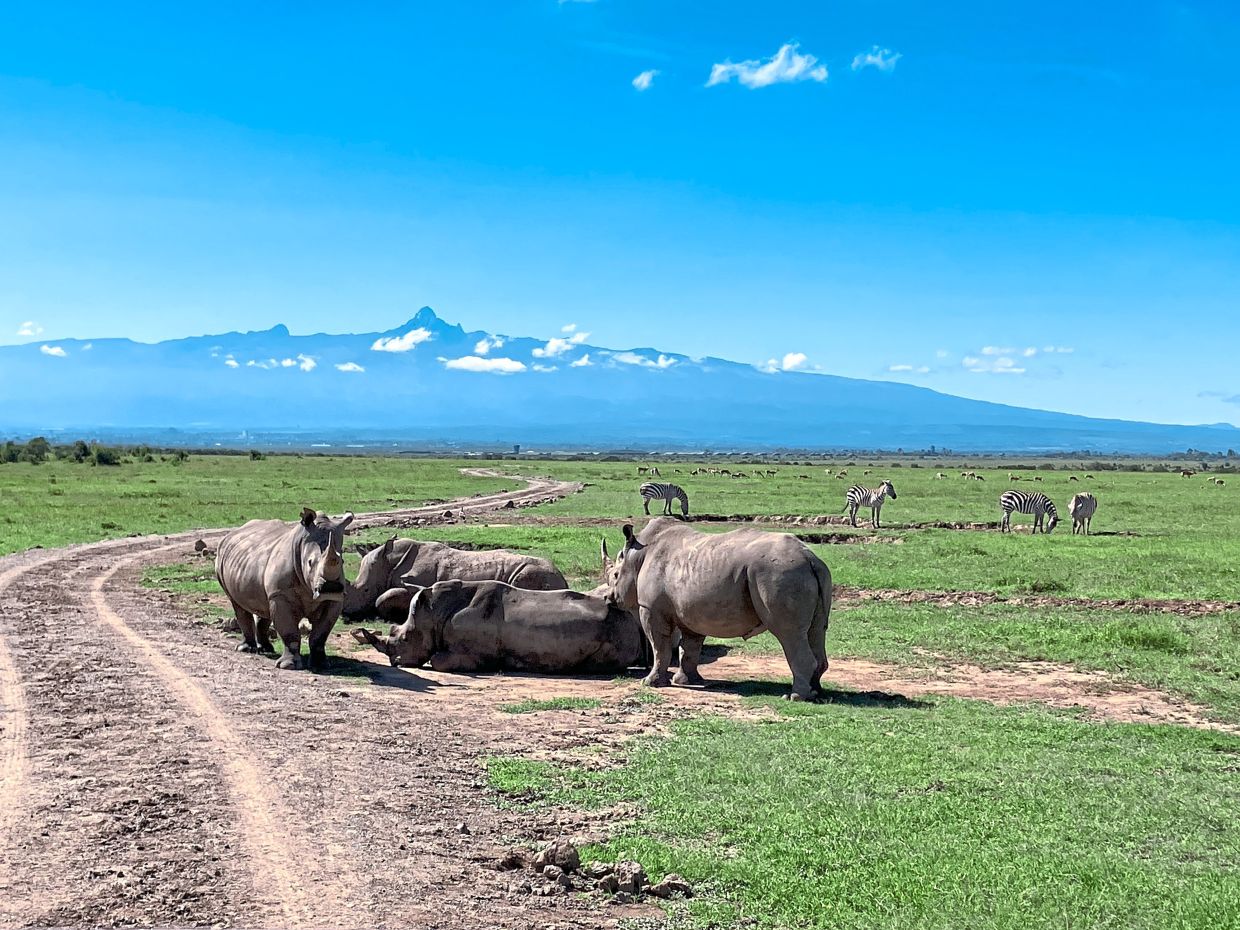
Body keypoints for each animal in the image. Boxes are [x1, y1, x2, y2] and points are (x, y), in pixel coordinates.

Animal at [215, 508, 354, 670]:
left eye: (342, 561)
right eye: (310, 562)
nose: (331, 587)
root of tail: (233, 533)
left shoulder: (334, 600)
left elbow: (320, 634)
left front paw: (321, 665)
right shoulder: (280, 595)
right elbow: (289, 631)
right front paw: (288, 666)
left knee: (263, 605)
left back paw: (266, 649)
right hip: (221, 556)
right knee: (238, 604)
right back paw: (246, 649)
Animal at [341, 536, 567, 620]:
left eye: (366, 591)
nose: (345, 613)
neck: (389, 562)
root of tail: (562, 577)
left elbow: (383, 597)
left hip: (533, 571)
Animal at [351, 579, 646, 674]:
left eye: (404, 638)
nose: (395, 662)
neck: (435, 613)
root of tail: (633, 623)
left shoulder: (471, 652)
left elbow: (438, 661)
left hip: (617, 630)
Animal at [602, 518, 832, 701]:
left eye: (615, 575)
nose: (608, 598)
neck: (637, 555)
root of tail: (810, 559)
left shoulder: (651, 608)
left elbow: (660, 646)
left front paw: (650, 683)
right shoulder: (691, 610)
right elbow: (690, 647)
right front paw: (686, 681)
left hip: (779, 574)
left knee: (789, 633)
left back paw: (795, 697)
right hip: (806, 574)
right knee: (816, 631)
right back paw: (816, 693)